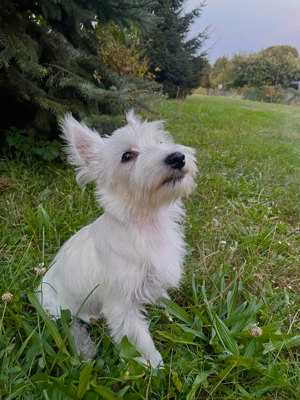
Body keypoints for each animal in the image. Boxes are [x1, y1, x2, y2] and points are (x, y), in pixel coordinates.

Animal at [39, 111, 197, 368]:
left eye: (161, 141)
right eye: (127, 156)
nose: (177, 157)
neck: (146, 224)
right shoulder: (121, 306)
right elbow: (139, 338)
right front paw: (153, 365)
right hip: (56, 309)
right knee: (70, 325)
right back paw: (85, 349)